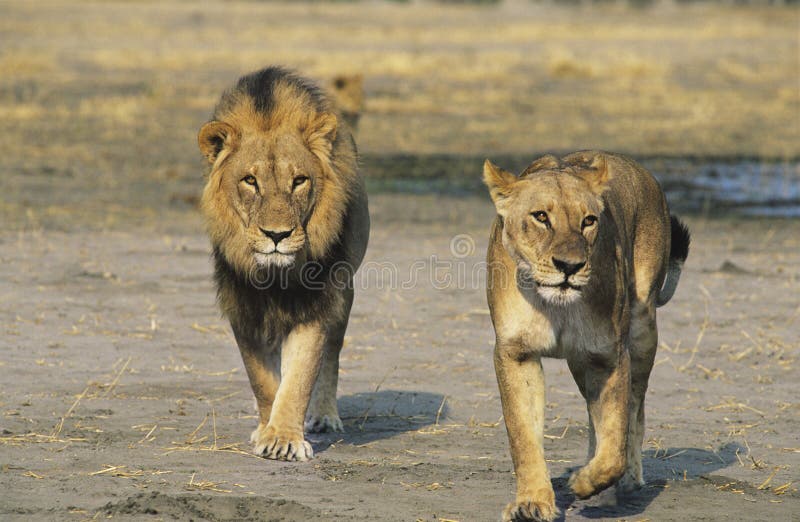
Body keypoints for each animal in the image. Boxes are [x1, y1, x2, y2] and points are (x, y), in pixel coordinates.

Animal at [197, 65, 372, 460]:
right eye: (249, 180)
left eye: (299, 181)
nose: (276, 235)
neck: (276, 277)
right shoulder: (242, 304)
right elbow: (262, 380)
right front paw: (267, 429)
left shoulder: (316, 303)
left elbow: (301, 376)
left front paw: (284, 439)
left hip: (345, 294)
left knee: (332, 356)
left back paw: (324, 416)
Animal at [484, 149, 692, 516]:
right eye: (541, 217)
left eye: (589, 221)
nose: (570, 266)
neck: (555, 306)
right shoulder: (516, 352)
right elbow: (523, 435)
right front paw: (532, 502)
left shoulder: (609, 355)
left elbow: (615, 441)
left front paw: (583, 482)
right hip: (581, 363)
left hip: (642, 328)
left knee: (634, 409)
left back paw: (626, 480)